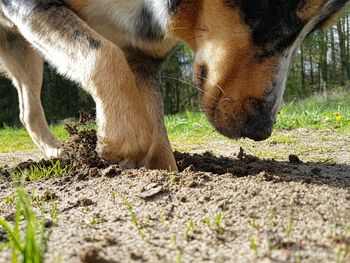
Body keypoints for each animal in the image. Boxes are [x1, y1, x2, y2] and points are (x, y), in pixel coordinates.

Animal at [0, 0, 348, 171]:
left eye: (320, 28)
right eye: (276, 15)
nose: (261, 129)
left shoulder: (143, 51)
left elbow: (158, 132)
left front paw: (167, 174)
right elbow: (103, 53)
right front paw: (114, 146)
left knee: (28, 111)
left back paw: (60, 152)